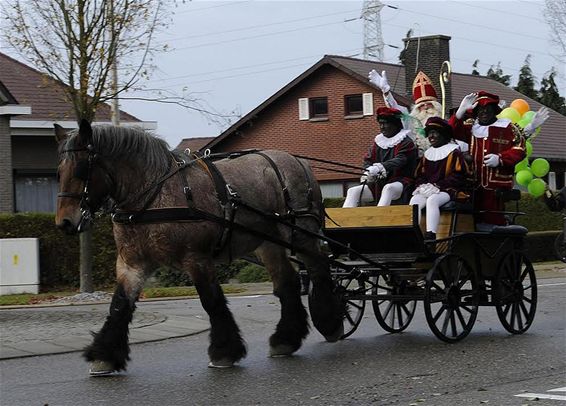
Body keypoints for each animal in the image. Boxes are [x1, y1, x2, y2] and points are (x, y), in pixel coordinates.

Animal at [55, 121, 344, 378]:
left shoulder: (197, 258)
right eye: (59, 170)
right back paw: (286, 339)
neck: (154, 196)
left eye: (81, 168)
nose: (64, 222)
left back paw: (330, 323)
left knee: (319, 268)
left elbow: (211, 301)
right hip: (269, 243)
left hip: (300, 235)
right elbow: (119, 306)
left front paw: (224, 352)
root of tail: (297, 161)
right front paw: (104, 356)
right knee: (288, 284)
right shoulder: (132, 264)